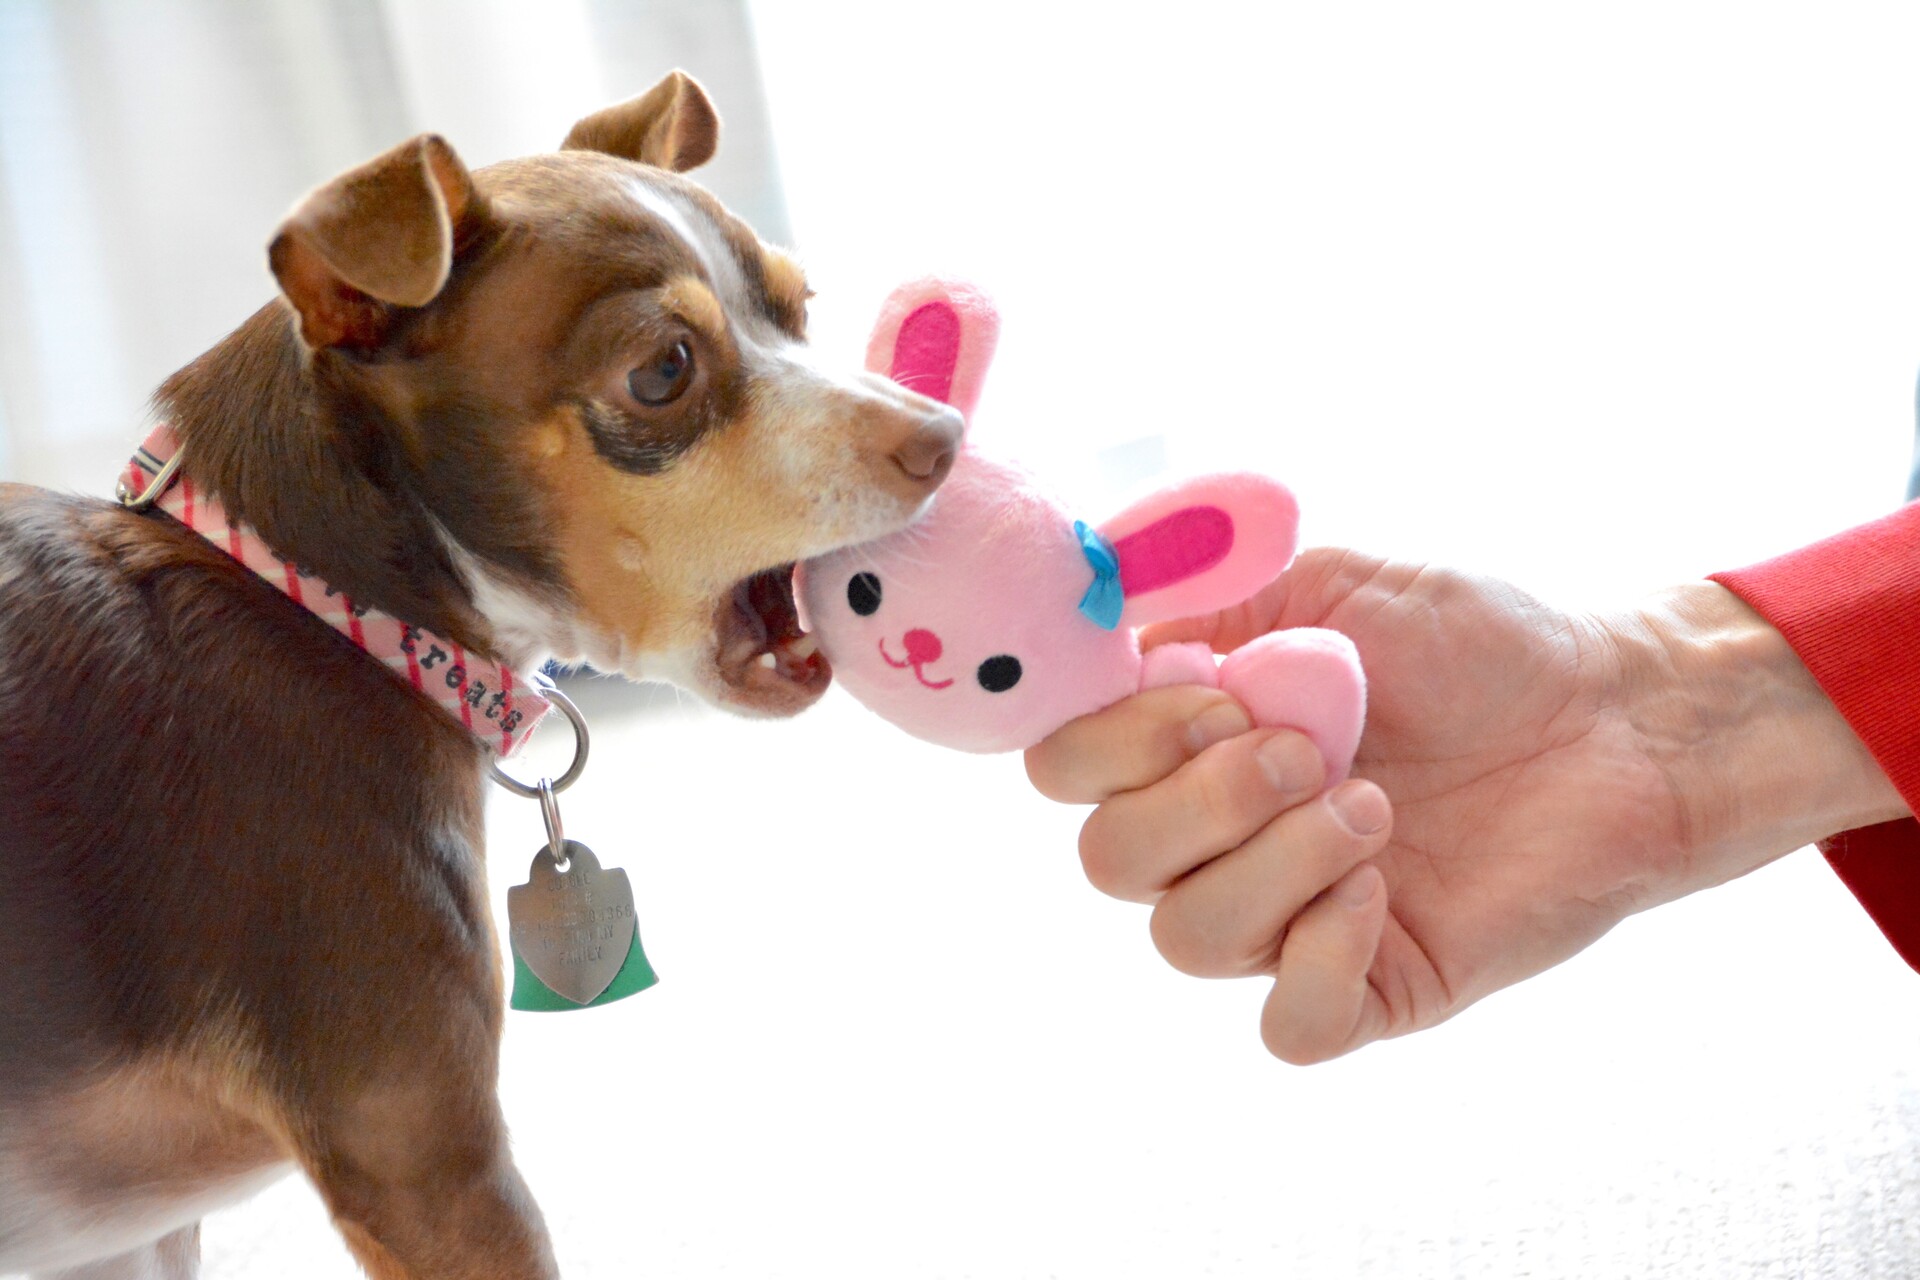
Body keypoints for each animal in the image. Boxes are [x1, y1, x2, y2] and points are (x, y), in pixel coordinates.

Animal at [0, 72, 960, 1280]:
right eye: (662, 370)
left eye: (800, 307)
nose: (946, 433)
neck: (316, 603)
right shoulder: (431, 1165)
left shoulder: (126, 1240)